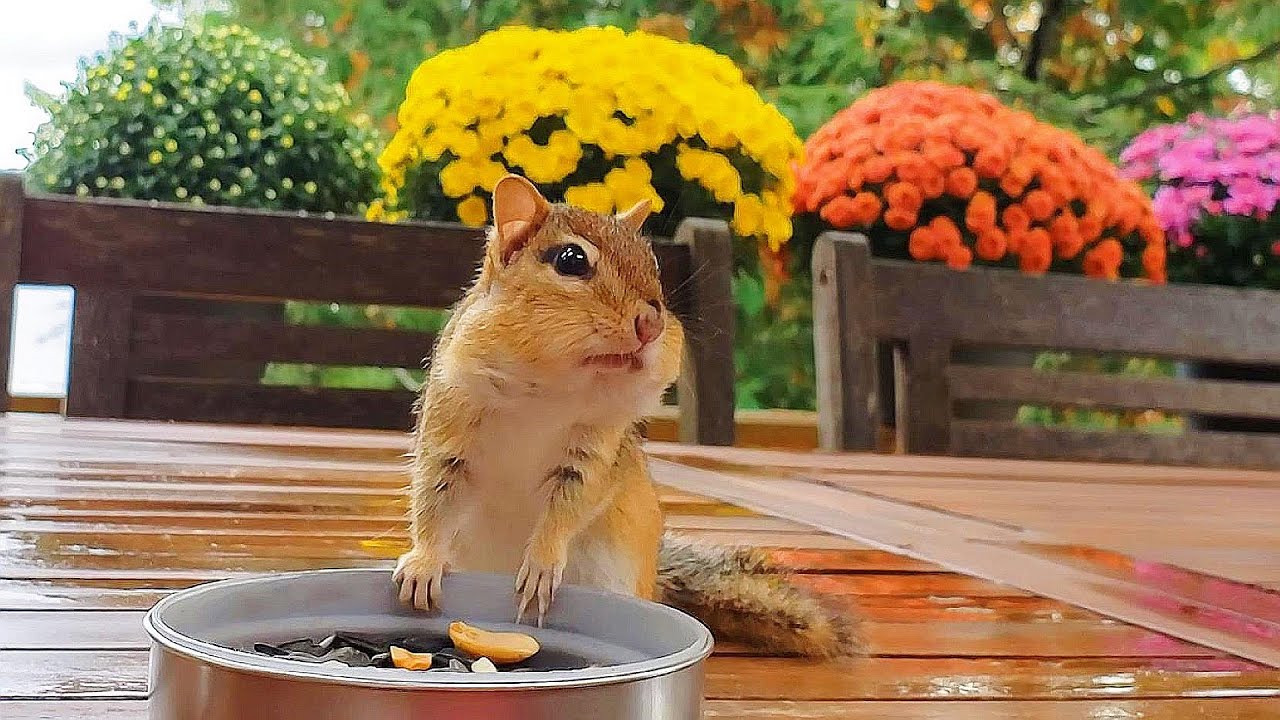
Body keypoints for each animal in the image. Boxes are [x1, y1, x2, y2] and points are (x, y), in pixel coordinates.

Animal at [393, 174, 861, 658]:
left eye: (652, 262)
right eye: (571, 260)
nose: (652, 324)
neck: (544, 390)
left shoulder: (594, 452)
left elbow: (570, 507)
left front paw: (542, 562)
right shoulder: (448, 431)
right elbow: (432, 502)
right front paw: (423, 563)